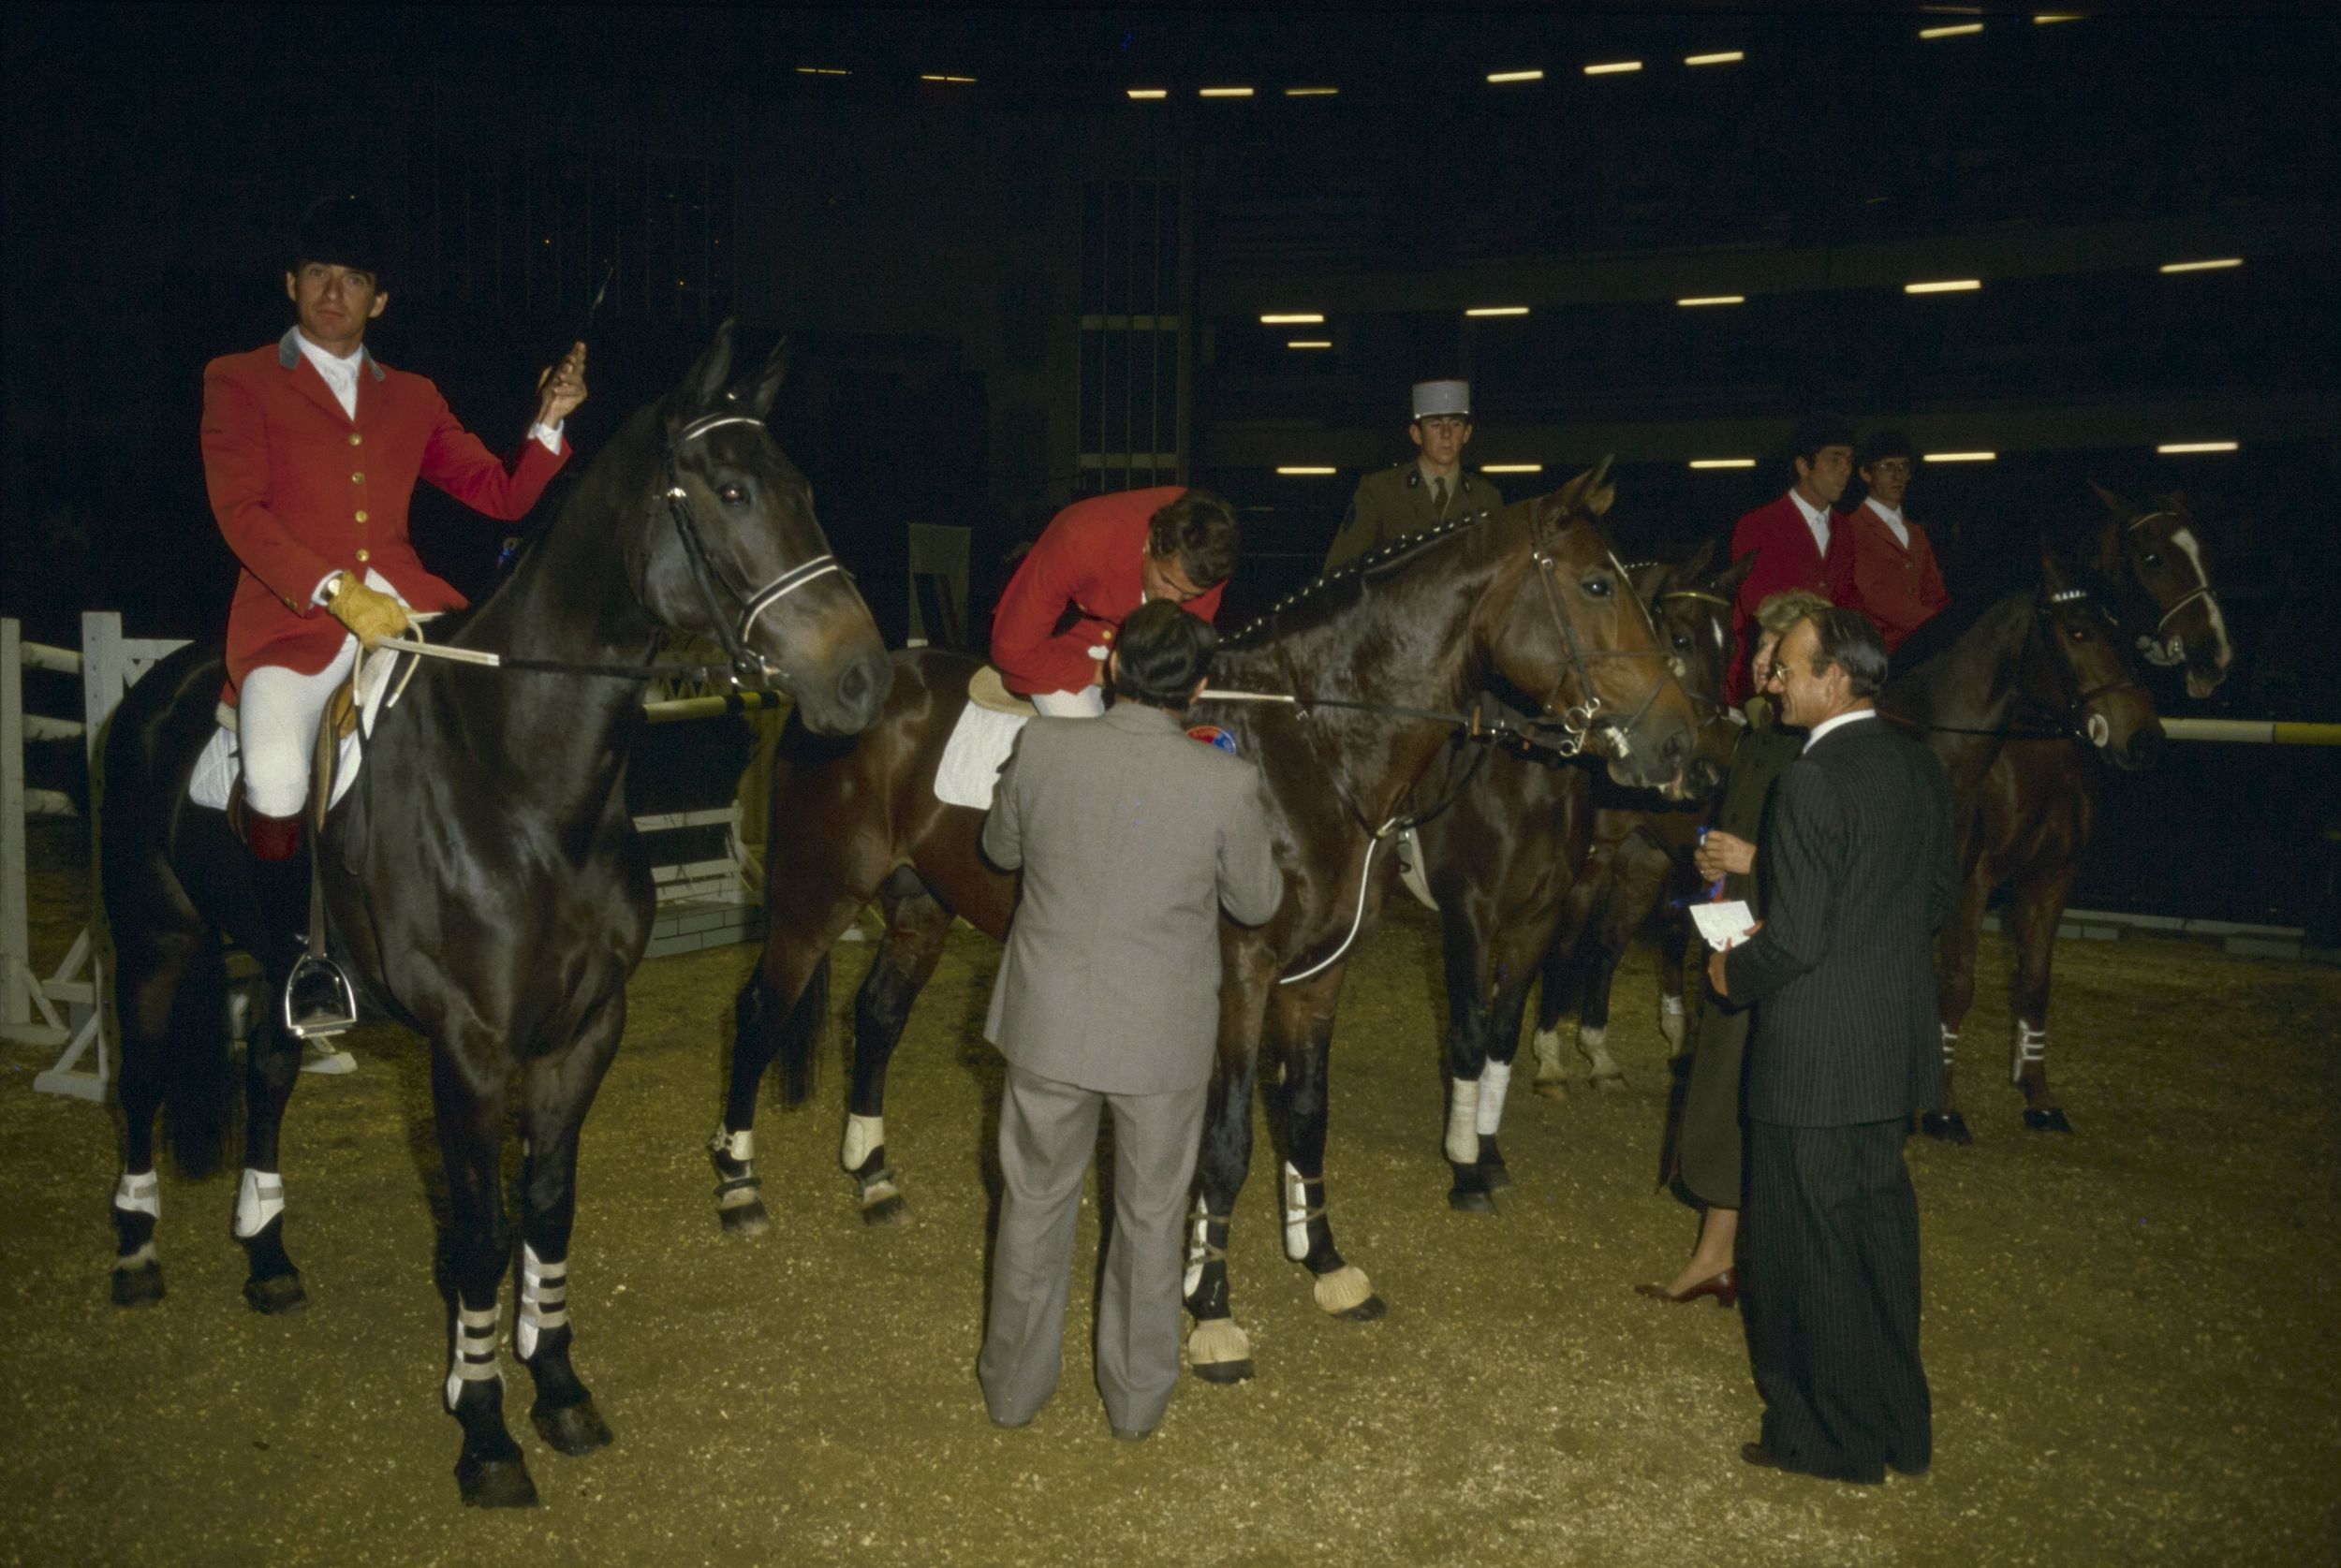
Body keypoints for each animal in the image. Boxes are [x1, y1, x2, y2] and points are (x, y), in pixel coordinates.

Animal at [100, 323, 890, 1507]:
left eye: (802, 488)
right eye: (732, 490)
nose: (863, 680)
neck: (525, 783)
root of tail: (160, 685)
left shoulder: (584, 1029)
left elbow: (548, 1208)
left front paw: (556, 1385)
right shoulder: (468, 1052)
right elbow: (479, 1232)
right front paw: (483, 1430)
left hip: (286, 967)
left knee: (269, 1069)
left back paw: (270, 1257)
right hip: (156, 943)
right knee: (143, 1080)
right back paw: (138, 1251)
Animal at [712, 463, 1704, 1376]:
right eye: (1597, 585)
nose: (1679, 744)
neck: (1306, 748)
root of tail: (847, 686)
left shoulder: (1321, 974)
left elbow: (1305, 1115)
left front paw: (1324, 1260)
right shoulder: (1243, 977)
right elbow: (1226, 1142)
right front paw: (1210, 1302)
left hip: (920, 906)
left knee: (877, 1015)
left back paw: (874, 1178)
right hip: (813, 899)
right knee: (759, 1016)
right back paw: (738, 1187)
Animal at [1405, 540, 1760, 1217]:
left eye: (1733, 647)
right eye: (1678, 638)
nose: (1706, 770)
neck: (1525, 773)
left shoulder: (1603, 879)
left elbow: (1558, 981)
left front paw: (1586, 1057)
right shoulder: (1476, 912)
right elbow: (1488, 1017)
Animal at [1929, 491, 2238, 1142]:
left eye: (2205, 549)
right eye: (2153, 557)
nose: (2215, 655)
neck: (2036, 746)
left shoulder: (2052, 874)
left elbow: (2035, 983)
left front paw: (2038, 1093)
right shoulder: (1971, 879)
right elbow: (1958, 983)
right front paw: (1941, 1106)